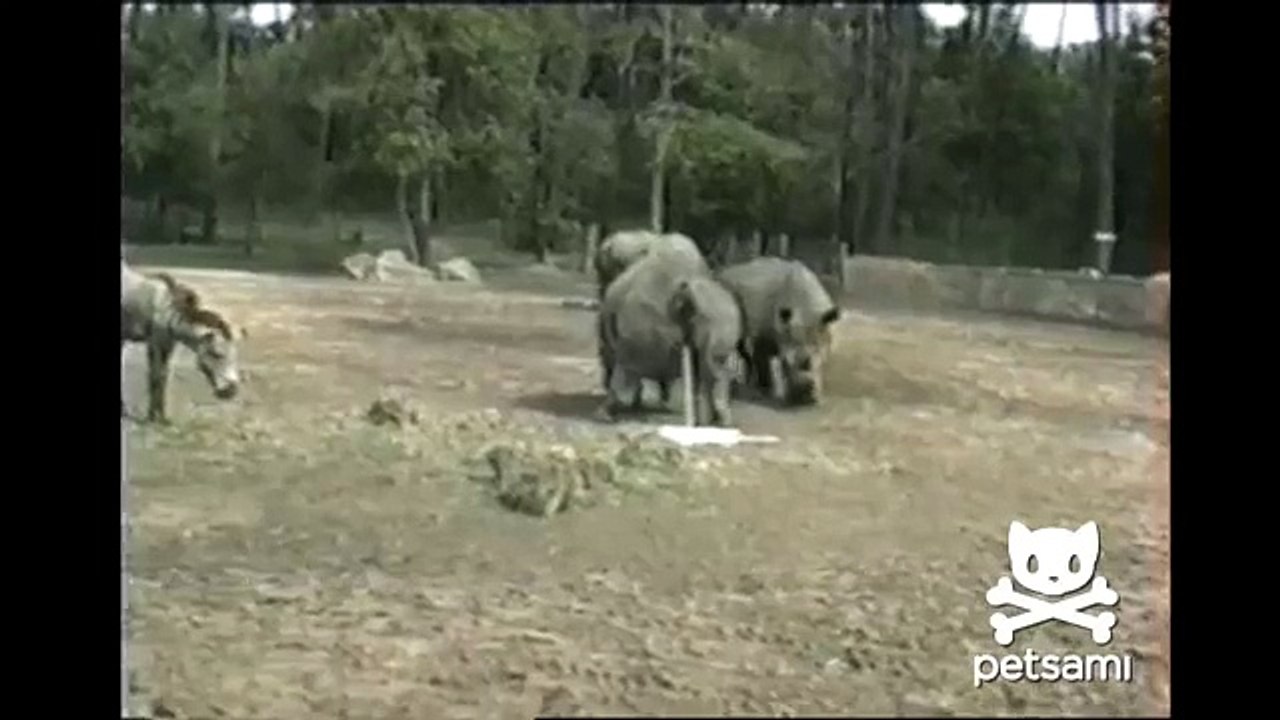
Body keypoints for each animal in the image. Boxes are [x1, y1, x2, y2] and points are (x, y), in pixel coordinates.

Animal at [122, 261, 244, 422]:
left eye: (235, 356)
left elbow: (164, 377)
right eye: (216, 354)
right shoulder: (154, 344)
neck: (168, 312)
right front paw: (151, 416)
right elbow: (155, 377)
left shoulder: (168, 344)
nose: (231, 391)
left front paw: (163, 417)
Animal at [715, 257, 840, 406]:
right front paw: (765, 391)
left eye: (821, 360)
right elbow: (762, 357)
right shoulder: (765, 335)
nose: (804, 400)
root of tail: (723, 271)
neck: (806, 308)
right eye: (786, 362)